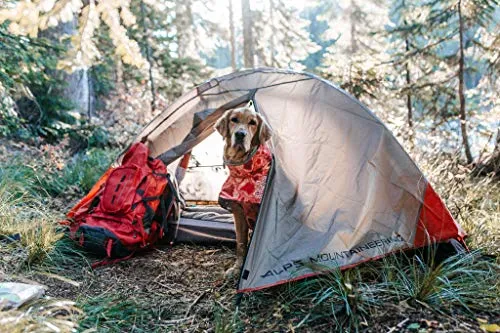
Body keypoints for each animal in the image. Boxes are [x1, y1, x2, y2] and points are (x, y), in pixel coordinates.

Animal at [213, 101, 272, 278]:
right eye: (234, 119)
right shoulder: (238, 212)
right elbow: (241, 244)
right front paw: (237, 268)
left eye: (253, 123)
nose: (240, 134)